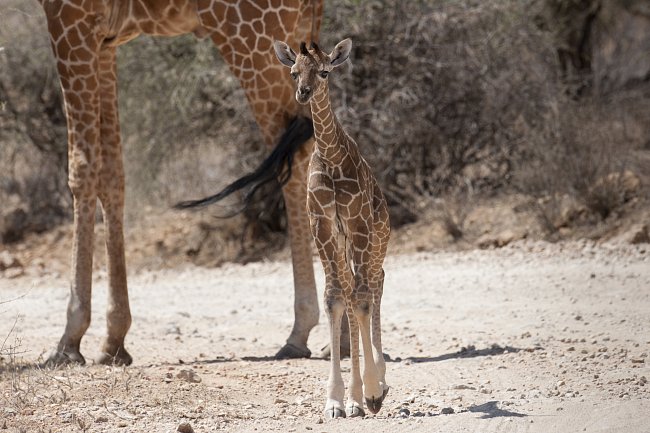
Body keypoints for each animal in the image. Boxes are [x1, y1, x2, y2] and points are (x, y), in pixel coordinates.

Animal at [38, 0, 324, 364]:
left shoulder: (71, 19)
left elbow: (82, 169)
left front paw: (69, 339)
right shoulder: (106, 42)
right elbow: (113, 174)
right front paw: (114, 339)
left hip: (254, 39)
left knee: (297, 149)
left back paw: (301, 331)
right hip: (302, 33)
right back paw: (339, 339)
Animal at [274, 38, 390, 416]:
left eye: (325, 71)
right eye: (294, 72)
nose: (304, 92)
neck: (332, 157)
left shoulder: (358, 223)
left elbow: (362, 299)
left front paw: (371, 391)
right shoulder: (322, 227)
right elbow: (335, 298)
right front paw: (339, 399)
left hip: (377, 238)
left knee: (374, 283)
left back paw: (380, 379)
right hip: (343, 244)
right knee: (354, 288)